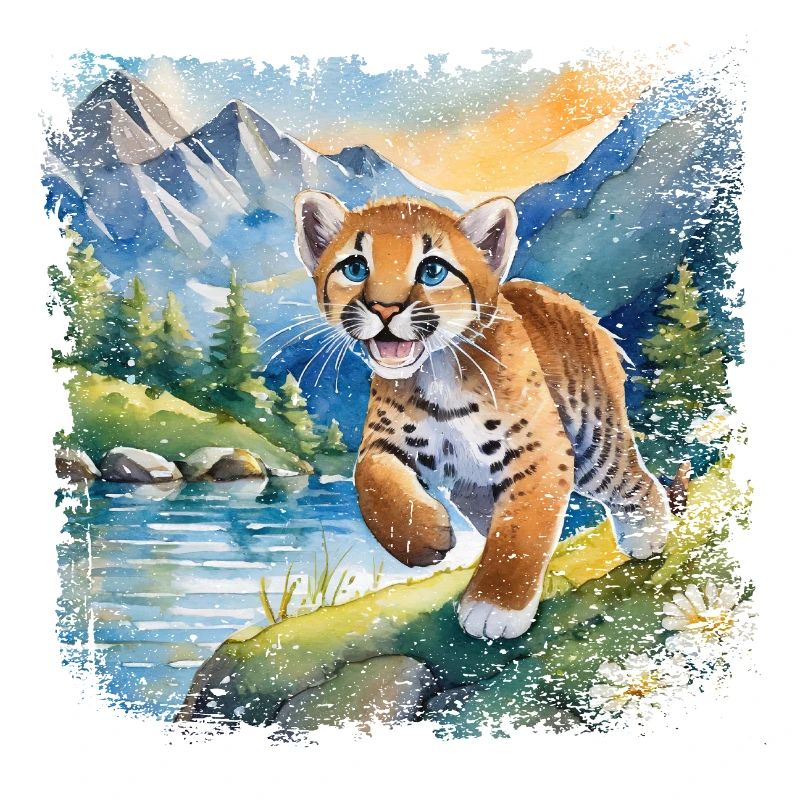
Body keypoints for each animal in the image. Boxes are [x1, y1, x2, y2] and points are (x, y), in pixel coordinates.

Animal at [293, 190, 674, 640]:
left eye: (432, 270)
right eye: (355, 267)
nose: (385, 309)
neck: (437, 371)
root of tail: (551, 294)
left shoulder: (540, 452)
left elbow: (523, 529)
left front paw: (496, 606)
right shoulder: (384, 442)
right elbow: (372, 483)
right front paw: (424, 538)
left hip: (593, 443)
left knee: (633, 480)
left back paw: (647, 537)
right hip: (474, 486)